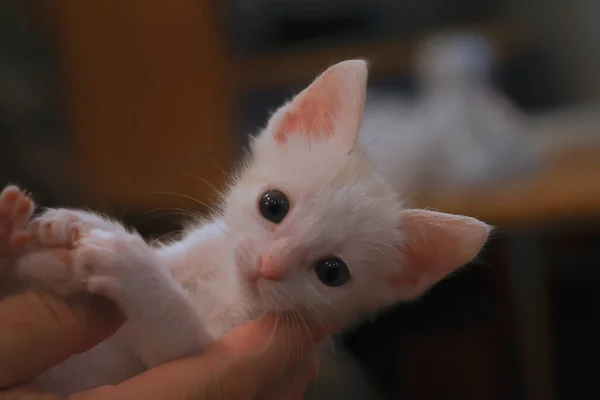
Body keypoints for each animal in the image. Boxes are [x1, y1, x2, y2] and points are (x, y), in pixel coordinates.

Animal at [0, 60, 490, 396]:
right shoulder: (203, 246)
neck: (226, 279)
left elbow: (175, 328)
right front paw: (55, 232)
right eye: (273, 206)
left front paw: (131, 269)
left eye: (332, 273)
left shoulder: (193, 349)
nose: (268, 265)